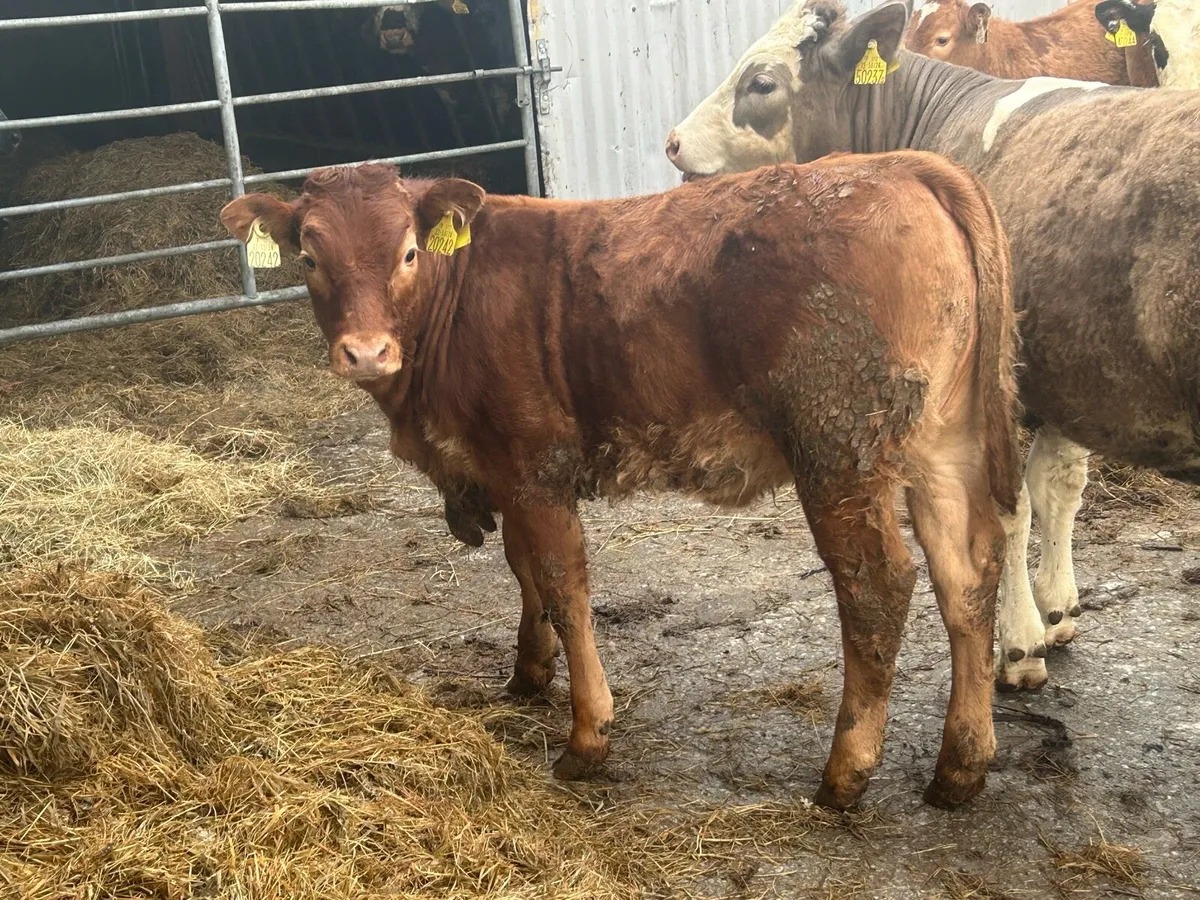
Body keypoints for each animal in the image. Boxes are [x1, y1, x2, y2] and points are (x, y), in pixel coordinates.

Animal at [220, 155, 1020, 810]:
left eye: (409, 251)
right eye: (309, 256)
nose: (365, 352)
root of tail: (903, 166)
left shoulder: (533, 466)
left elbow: (563, 585)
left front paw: (586, 738)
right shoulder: (506, 473)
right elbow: (523, 571)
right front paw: (528, 671)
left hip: (836, 451)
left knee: (876, 586)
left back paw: (846, 772)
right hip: (943, 445)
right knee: (968, 574)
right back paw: (961, 766)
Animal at [666, 0, 1200, 694]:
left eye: (761, 82)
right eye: (1158, 43)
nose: (673, 140)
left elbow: (1007, 506)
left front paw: (1019, 646)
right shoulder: (1074, 369)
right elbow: (1060, 488)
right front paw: (1056, 612)